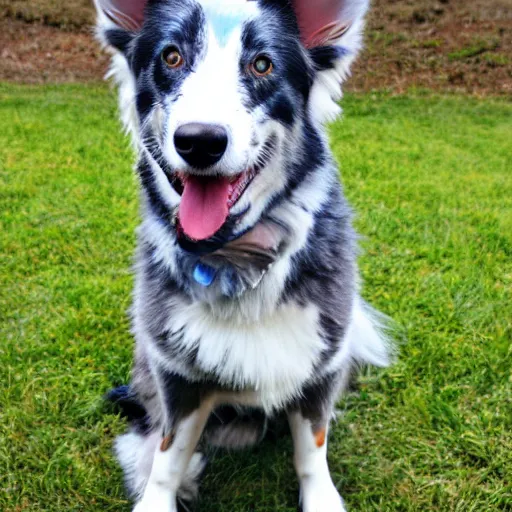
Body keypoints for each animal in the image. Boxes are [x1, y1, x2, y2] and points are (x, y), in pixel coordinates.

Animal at [95, 1, 392, 512]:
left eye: (262, 64)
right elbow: (168, 453)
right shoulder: (176, 375)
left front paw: (321, 496)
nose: (200, 140)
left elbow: (312, 448)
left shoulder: (320, 364)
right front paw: (161, 492)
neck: (236, 261)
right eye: (171, 57)